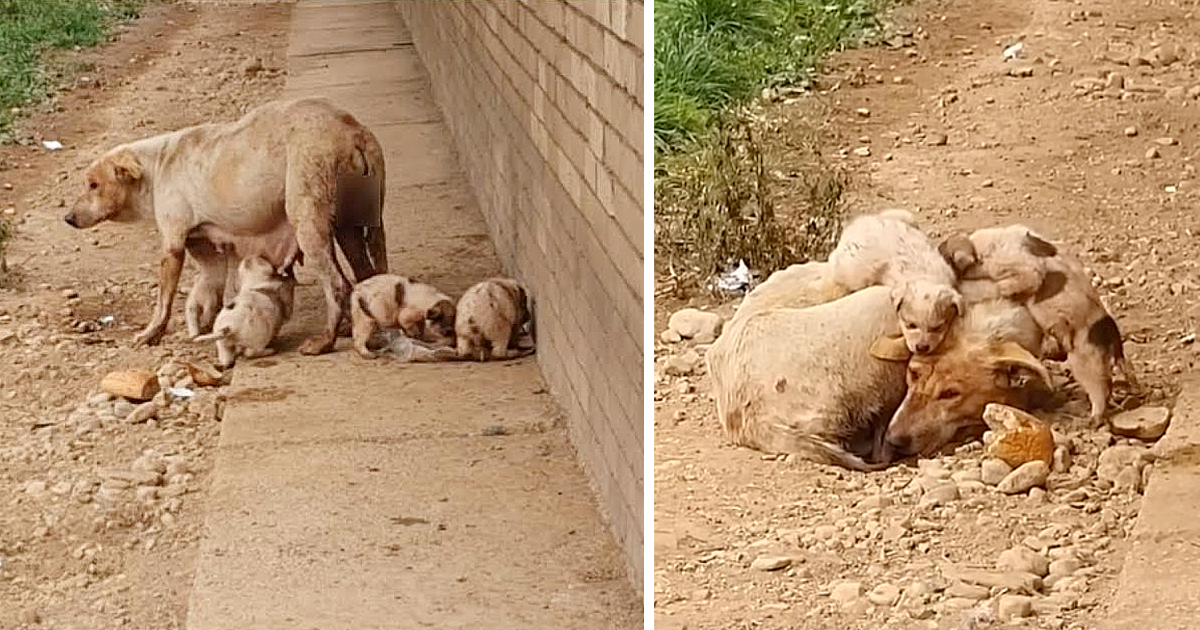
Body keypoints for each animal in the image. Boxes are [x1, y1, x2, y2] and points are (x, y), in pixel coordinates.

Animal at [63, 96, 386, 355]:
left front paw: (151, 333)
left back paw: (325, 341)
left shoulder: (172, 245)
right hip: (353, 226)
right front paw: (206, 327)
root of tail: (351, 130)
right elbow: (211, 293)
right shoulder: (207, 252)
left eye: (93, 185)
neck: (155, 167)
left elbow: (164, 300)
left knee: (338, 285)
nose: (67, 218)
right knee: (365, 275)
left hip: (310, 225)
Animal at [825, 207, 964, 350]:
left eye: (937, 328)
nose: (921, 348)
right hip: (852, 270)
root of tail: (859, 223)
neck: (925, 276)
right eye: (910, 325)